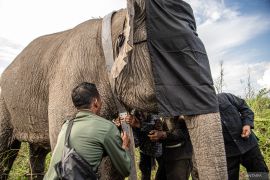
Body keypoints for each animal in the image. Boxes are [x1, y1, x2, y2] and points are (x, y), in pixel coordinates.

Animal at [0, 0, 228, 179]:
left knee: (36, 153)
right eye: (171, 57)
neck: (117, 20)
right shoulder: (68, 81)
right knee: (6, 152)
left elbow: (113, 159)